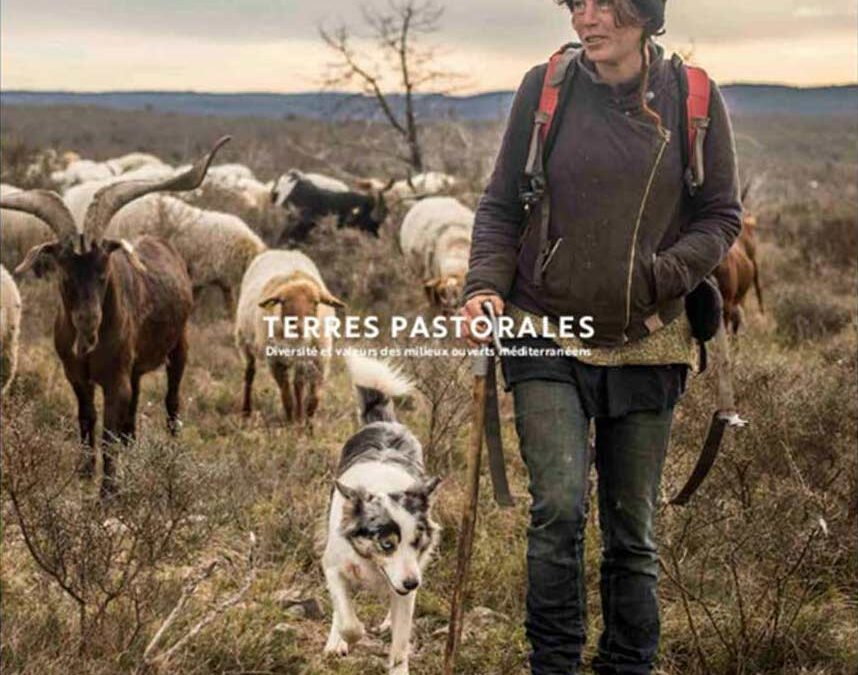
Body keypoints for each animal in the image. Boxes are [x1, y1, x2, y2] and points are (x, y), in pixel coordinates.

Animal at [1, 137, 229, 500]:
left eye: (103, 273)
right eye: (64, 276)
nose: (87, 332)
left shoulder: (115, 379)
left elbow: (109, 430)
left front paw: (109, 492)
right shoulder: (77, 376)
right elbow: (87, 420)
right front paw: (84, 474)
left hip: (179, 347)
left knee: (171, 401)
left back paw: (171, 449)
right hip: (135, 369)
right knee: (132, 414)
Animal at [234, 248, 344, 428]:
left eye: (315, 302)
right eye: (283, 301)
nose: (299, 326)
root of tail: (281, 251)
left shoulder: (320, 360)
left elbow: (313, 398)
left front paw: (307, 424)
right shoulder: (276, 361)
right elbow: (286, 396)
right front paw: (291, 422)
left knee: (298, 385)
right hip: (244, 341)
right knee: (249, 373)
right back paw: (246, 411)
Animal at [322, 356, 442, 672]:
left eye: (416, 542)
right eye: (387, 544)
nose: (413, 583)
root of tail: (384, 422)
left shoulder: (410, 575)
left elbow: (400, 643)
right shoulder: (333, 566)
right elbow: (348, 620)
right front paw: (344, 639)